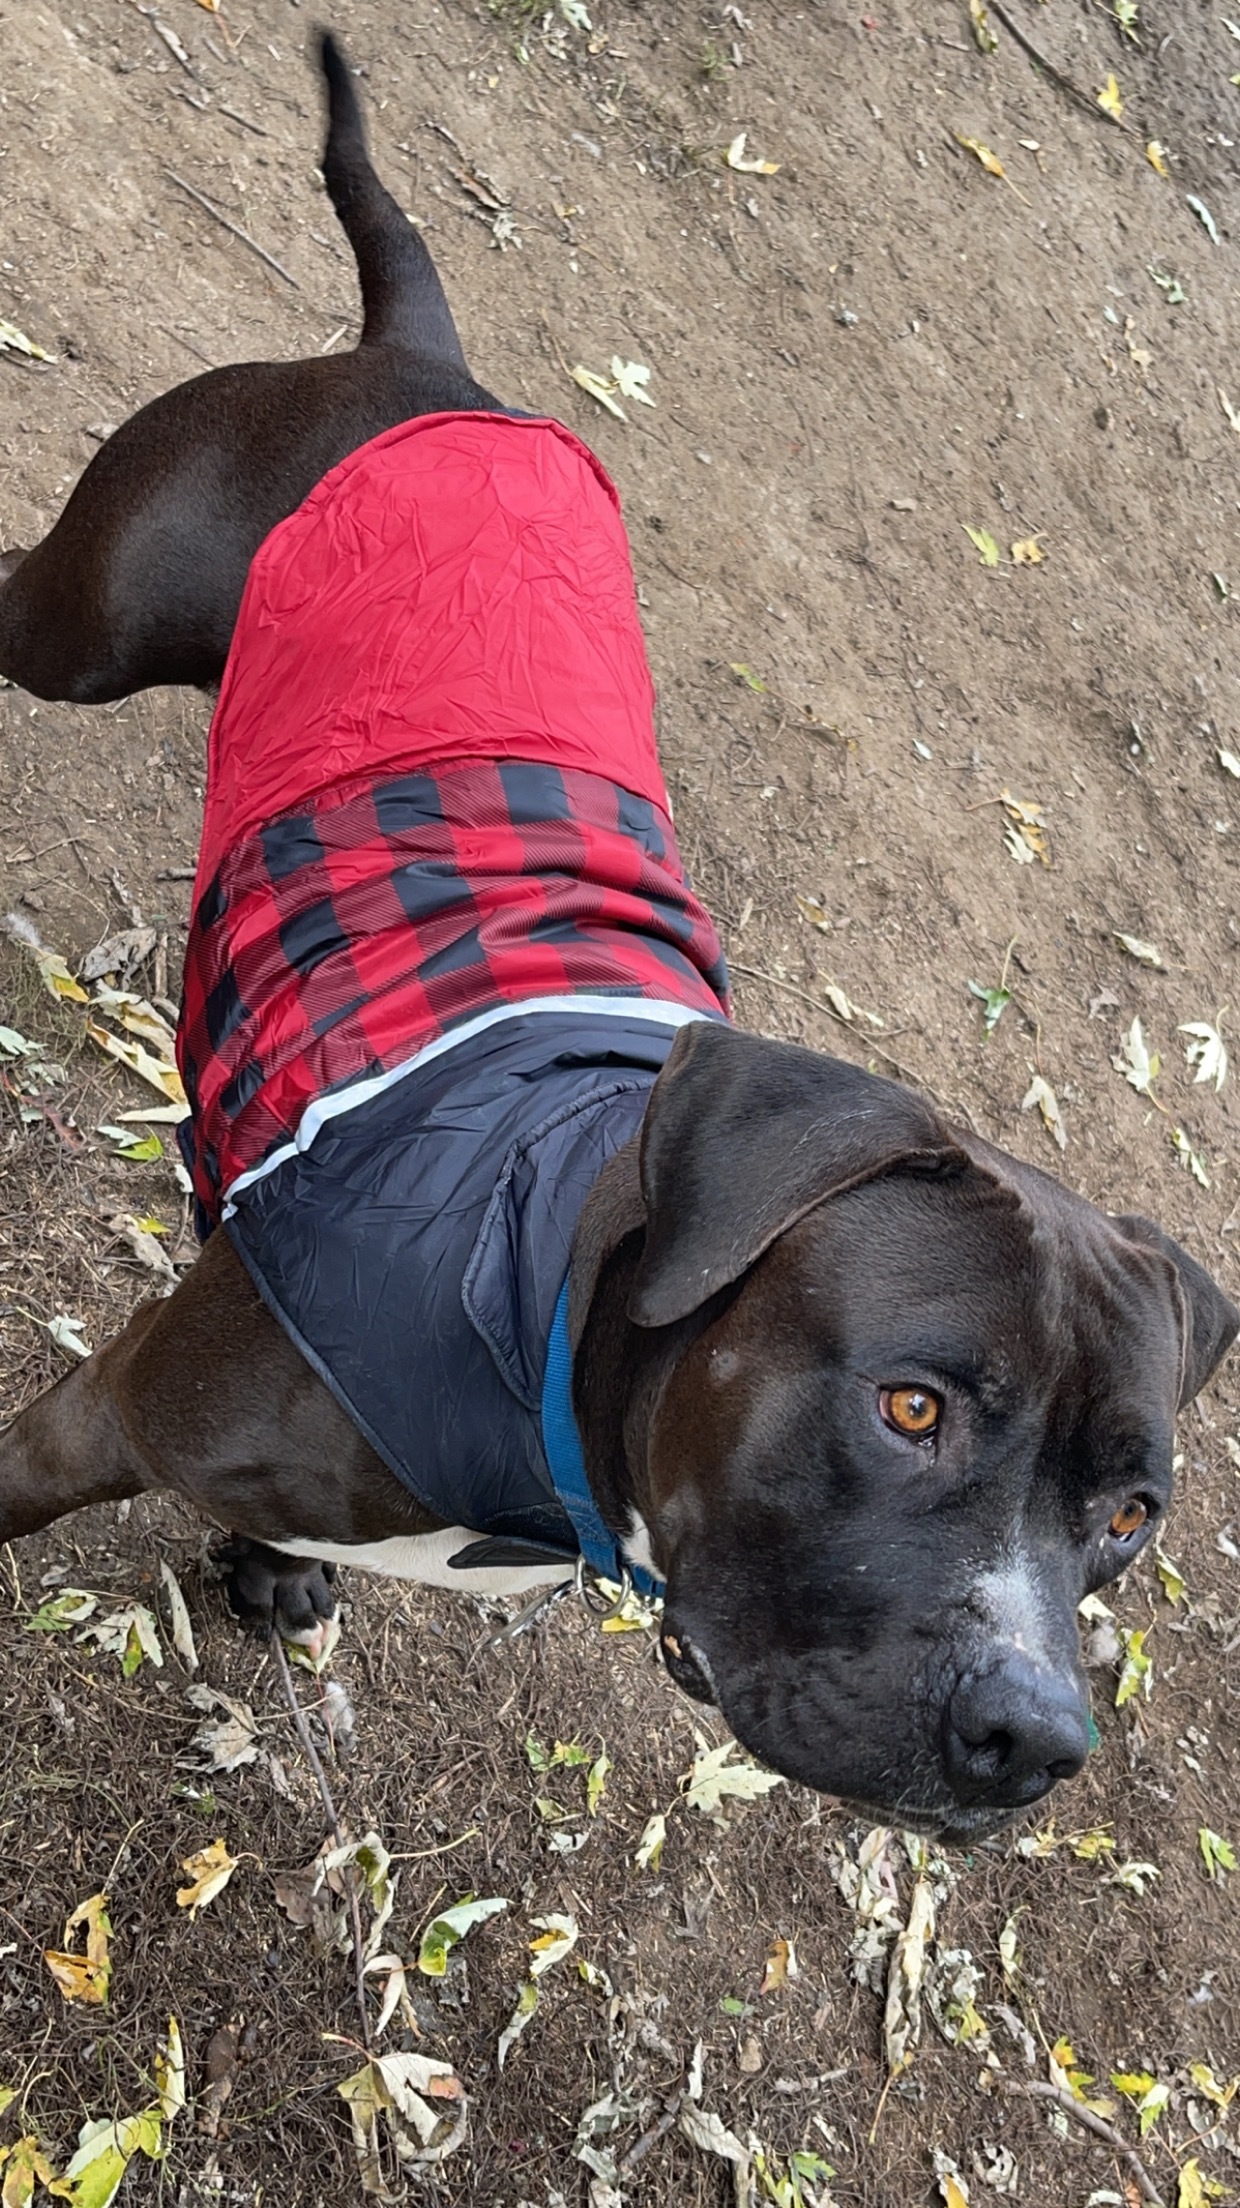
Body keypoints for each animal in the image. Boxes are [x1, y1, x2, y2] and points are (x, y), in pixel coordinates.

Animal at [0, 34, 1226, 1845]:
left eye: (1132, 1511)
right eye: (911, 1405)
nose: (1037, 1736)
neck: (542, 1324)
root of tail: (423, 364)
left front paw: (266, 1565)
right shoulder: (81, 1420)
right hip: (81, 622)